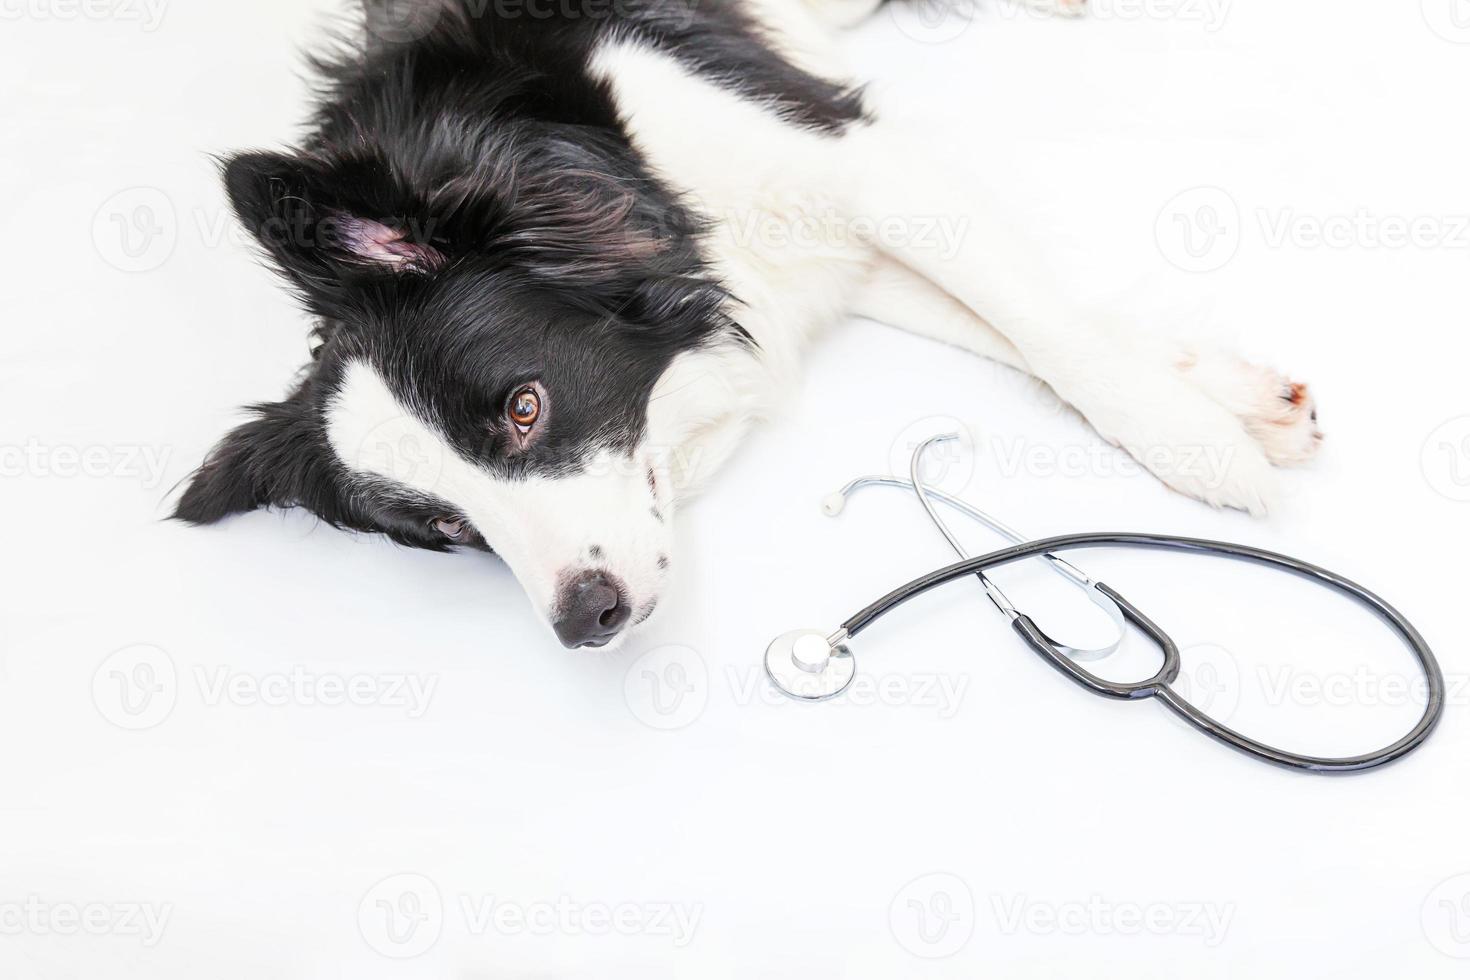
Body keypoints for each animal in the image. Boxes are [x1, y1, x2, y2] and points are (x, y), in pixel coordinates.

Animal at [177, 1, 1328, 652]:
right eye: (445, 530)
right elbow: (1026, 325)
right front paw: (1229, 396)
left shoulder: (853, 159)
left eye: (523, 407)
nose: (583, 620)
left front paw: (1199, 446)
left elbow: (1047, 328)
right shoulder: (811, 259)